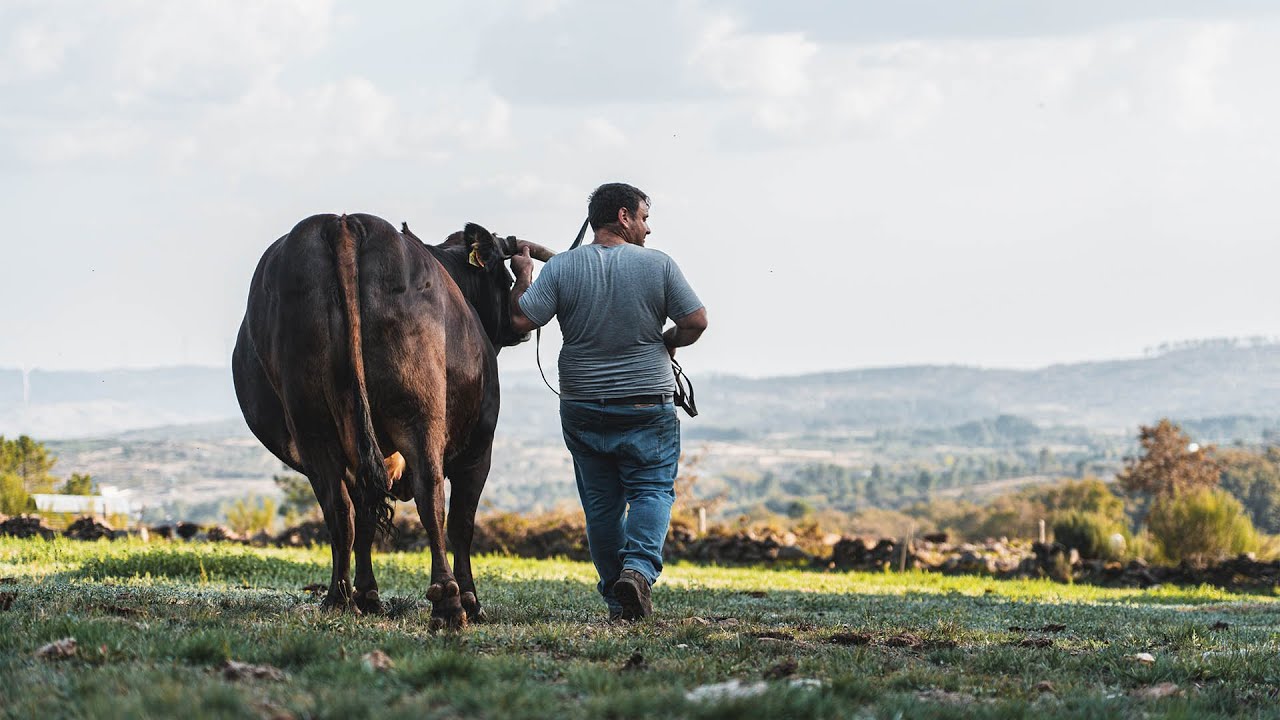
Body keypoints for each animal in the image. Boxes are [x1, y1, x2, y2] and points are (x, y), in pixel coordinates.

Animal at [232, 212, 552, 629]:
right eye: (505, 276)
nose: (521, 327)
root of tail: (343, 222)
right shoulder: (479, 448)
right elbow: (461, 524)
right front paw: (472, 600)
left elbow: (365, 518)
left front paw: (367, 594)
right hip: (418, 412)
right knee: (430, 495)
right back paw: (448, 602)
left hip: (312, 423)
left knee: (339, 510)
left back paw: (339, 597)